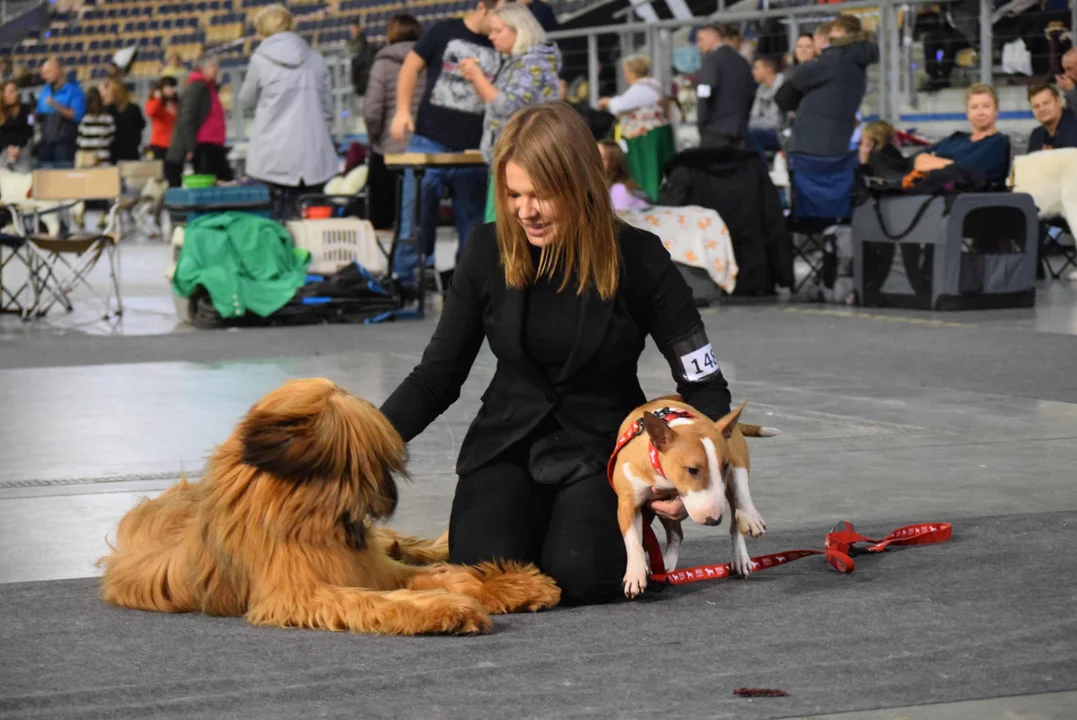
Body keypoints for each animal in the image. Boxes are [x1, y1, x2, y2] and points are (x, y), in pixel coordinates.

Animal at [99, 376, 564, 632]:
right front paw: (447, 611)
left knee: (406, 545)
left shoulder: (374, 566)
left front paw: (511, 586)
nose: (386, 498)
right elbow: (376, 600)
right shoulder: (299, 593)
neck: (311, 515)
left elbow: (446, 575)